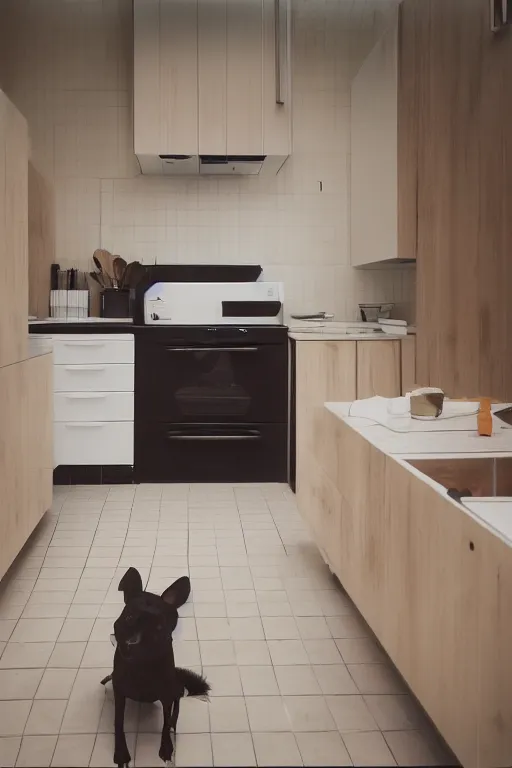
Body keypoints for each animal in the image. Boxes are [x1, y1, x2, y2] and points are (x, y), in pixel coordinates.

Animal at [101, 568, 208, 764]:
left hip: (175, 686)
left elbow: (165, 722)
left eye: (159, 626)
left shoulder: (166, 695)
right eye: (129, 617)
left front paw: (166, 746)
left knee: (177, 703)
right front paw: (120, 752)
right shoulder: (119, 691)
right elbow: (118, 721)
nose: (132, 644)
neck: (141, 667)